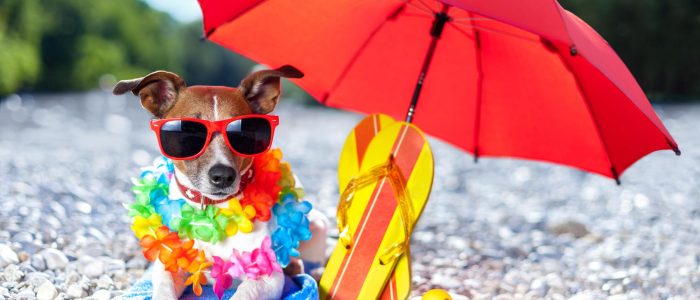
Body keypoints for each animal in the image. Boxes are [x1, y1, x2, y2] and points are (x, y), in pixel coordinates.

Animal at [114, 66, 328, 300]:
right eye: (188, 132)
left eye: (244, 133)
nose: (223, 175)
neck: (210, 212)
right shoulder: (170, 264)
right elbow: (163, 290)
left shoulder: (267, 275)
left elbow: (243, 293)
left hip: (318, 225)